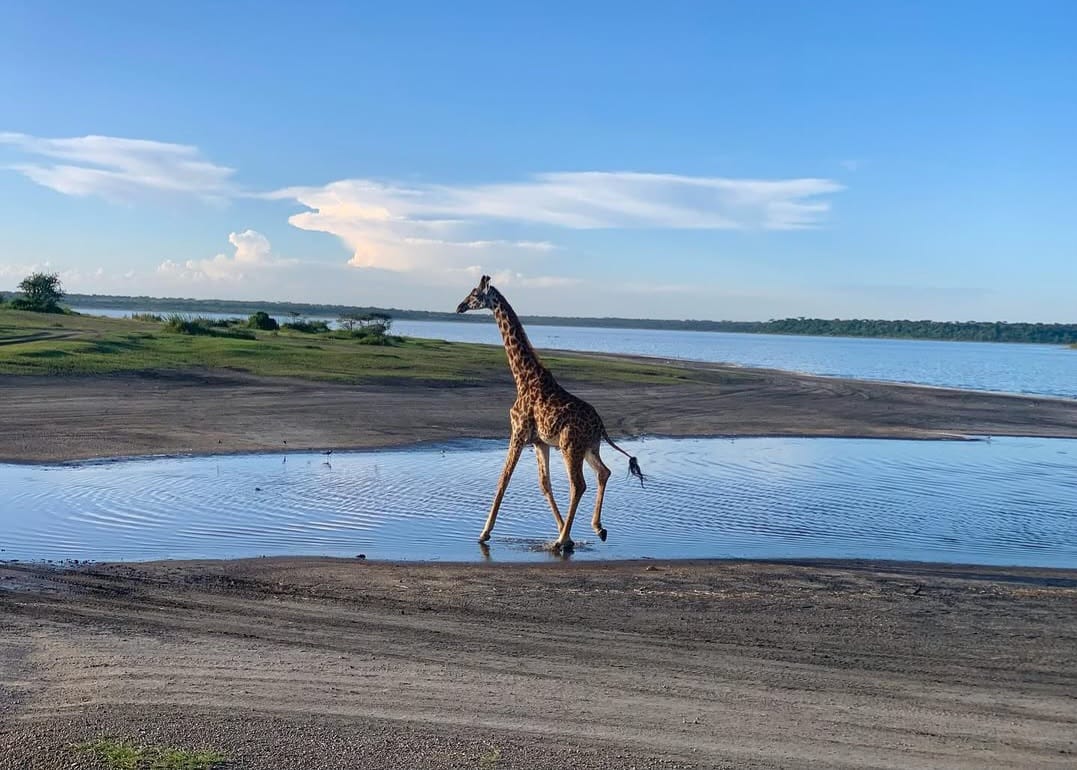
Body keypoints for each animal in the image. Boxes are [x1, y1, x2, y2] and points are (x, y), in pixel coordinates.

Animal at [456, 275, 644, 551]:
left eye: (474, 294)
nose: (459, 306)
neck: (523, 377)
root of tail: (600, 425)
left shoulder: (518, 432)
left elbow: (503, 479)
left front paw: (484, 533)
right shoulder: (539, 442)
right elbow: (544, 485)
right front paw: (564, 530)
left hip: (570, 446)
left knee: (579, 484)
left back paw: (561, 540)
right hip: (589, 446)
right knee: (603, 472)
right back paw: (596, 529)